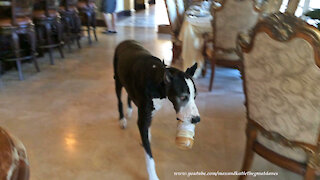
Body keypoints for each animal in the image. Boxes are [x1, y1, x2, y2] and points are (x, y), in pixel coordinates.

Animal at [114, 40, 200, 180]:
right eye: (182, 97)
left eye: (195, 97)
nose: (197, 119)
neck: (157, 79)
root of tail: (125, 41)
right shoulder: (143, 119)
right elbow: (149, 157)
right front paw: (153, 176)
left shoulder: (151, 111)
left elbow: (148, 127)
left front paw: (146, 138)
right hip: (117, 81)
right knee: (119, 101)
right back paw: (122, 119)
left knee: (129, 95)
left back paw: (129, 110)